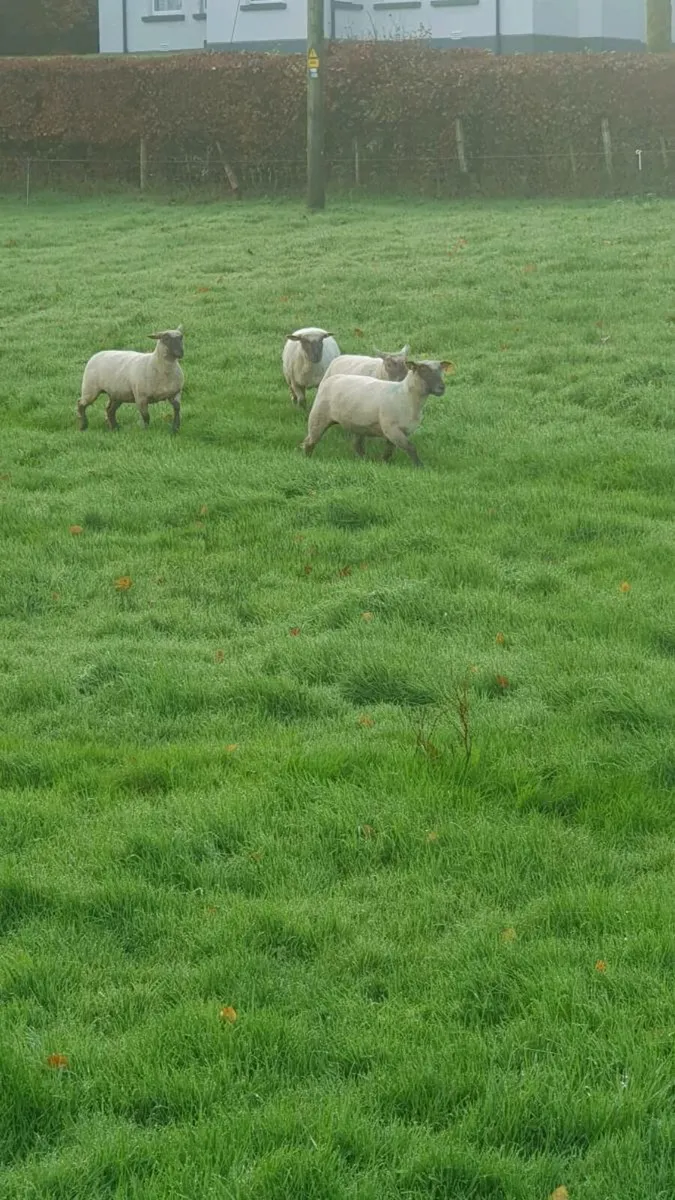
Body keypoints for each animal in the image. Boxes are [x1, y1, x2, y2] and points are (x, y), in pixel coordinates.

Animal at [302, 358, 452, 467]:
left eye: (441, 370)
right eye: (423, 369)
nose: (442, 388)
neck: (406, 396)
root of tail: (331, 378)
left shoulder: (395, 432)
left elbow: (389, 451)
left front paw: (383, 464)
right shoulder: (391, 429)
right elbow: (411, 448)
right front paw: (420, 467)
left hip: (358, 426)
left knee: (357, 446)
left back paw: (365, 461)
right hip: (319, 416)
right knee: (309, 442)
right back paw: (308, 459)